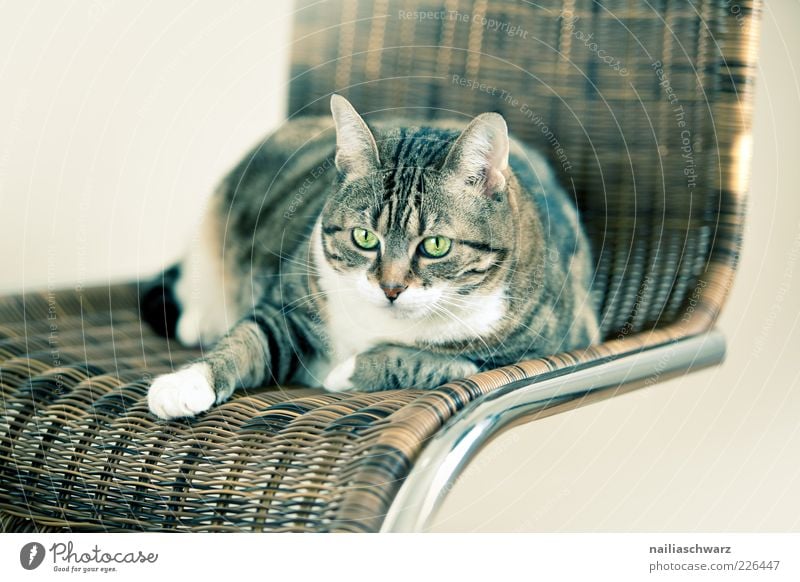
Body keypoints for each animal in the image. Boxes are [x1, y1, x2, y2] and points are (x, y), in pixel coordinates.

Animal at [144, 98, 596, 422]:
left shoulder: (549, 347)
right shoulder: (286, 308)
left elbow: (443, 364)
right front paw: (185, 384)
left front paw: (346, 372)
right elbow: (246, 340)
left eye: (435, 245)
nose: (391, 288)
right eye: (364, 237)